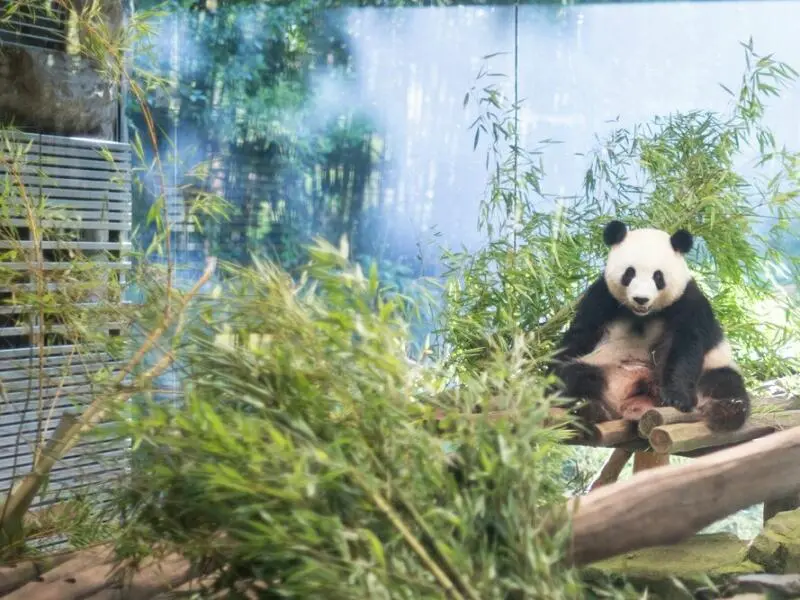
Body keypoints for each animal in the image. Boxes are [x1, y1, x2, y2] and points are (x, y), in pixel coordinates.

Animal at [548, 220, 752, 432]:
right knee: (576, 376)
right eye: (629, 273)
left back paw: (727, 410)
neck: (642, 314)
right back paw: (589, 407)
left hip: (712, 368)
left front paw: (677, 399)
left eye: (658, 277)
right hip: (605, 367)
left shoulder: (687, 301)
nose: (641, 299)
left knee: (724, 382)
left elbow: (685, 346)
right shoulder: (601, 297)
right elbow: (581, 334)